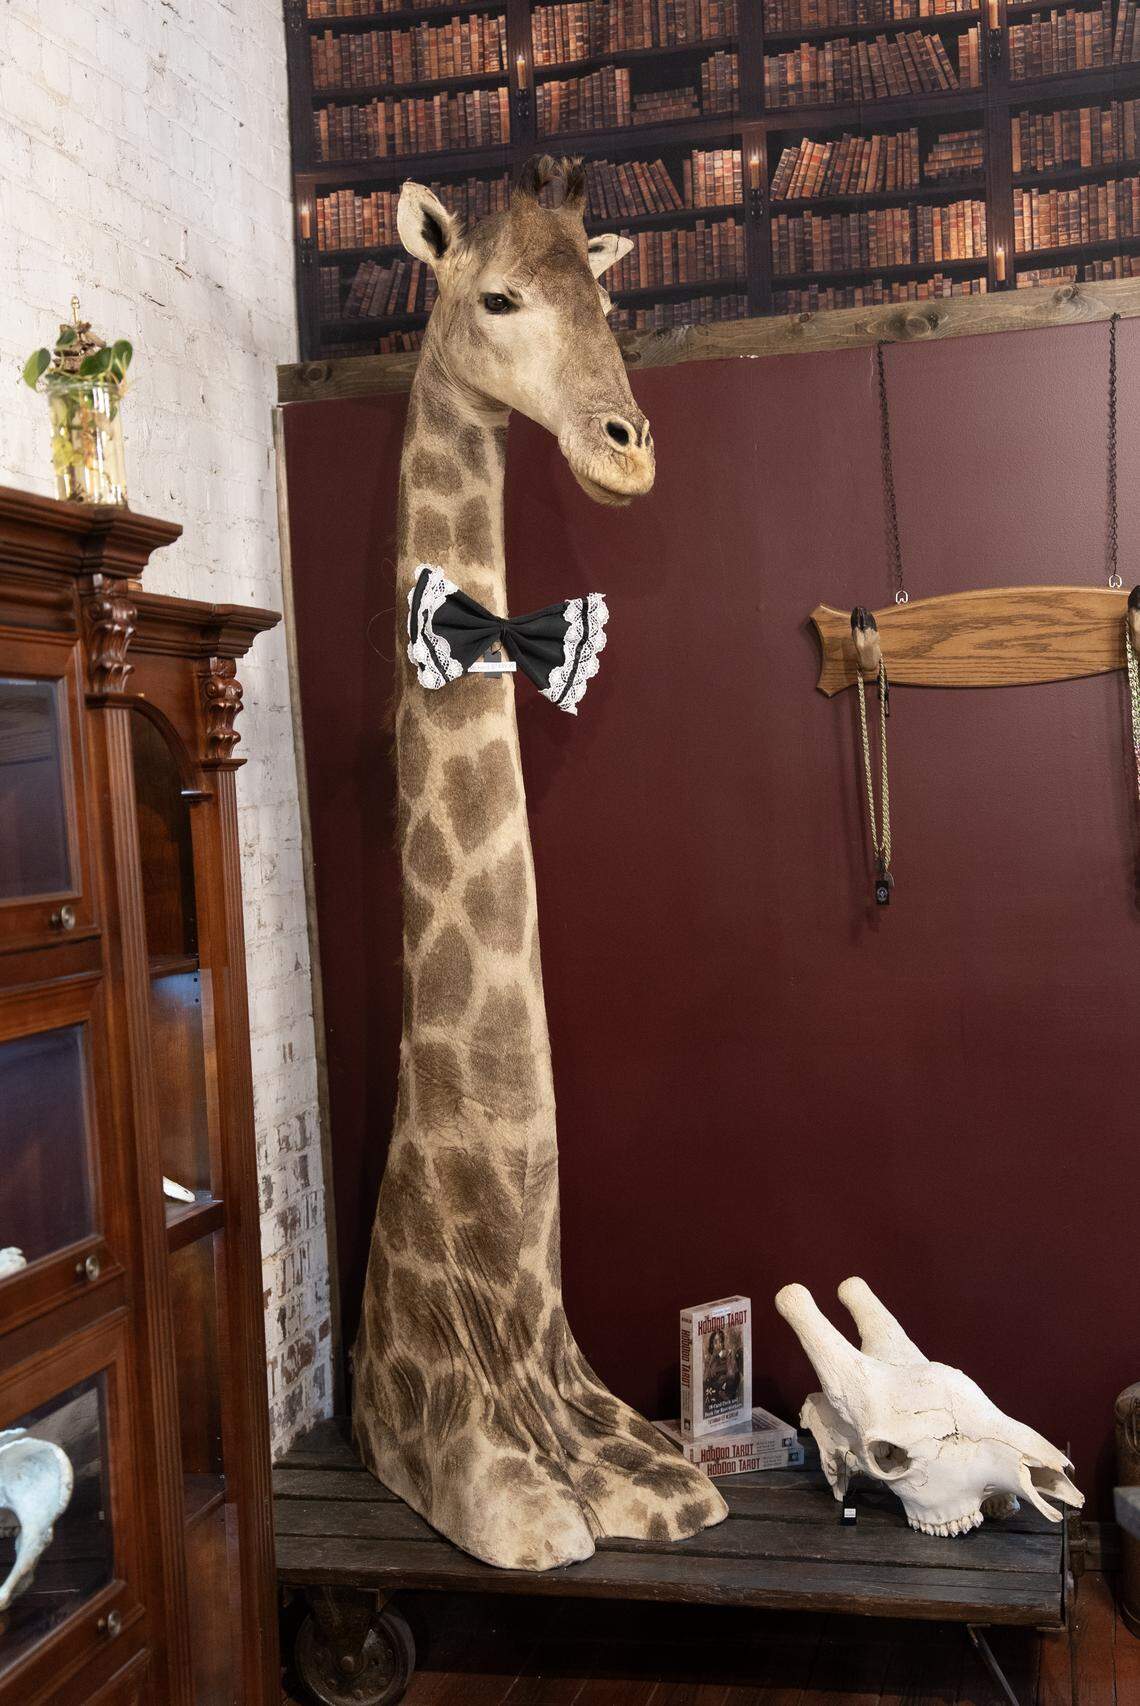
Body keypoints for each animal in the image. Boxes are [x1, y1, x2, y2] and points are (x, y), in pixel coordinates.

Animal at [352, 156, 729, 1571]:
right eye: (498, 298)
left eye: (607, 299)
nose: (629, 447)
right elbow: (526, 1514)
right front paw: (554, 1512)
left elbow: (666, 1481)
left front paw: (658, 1485)